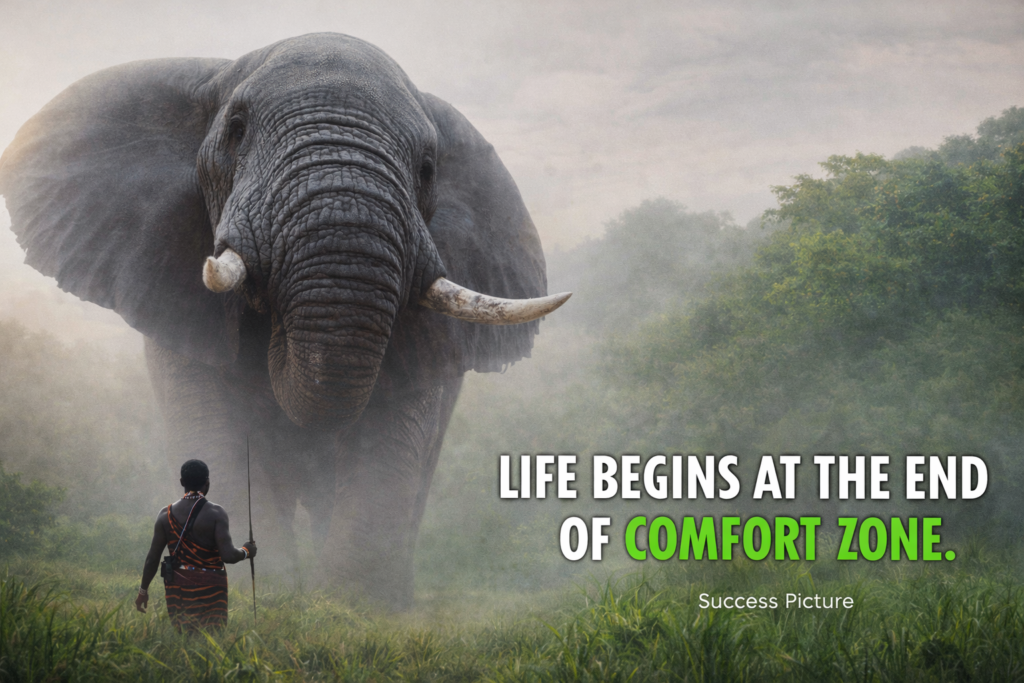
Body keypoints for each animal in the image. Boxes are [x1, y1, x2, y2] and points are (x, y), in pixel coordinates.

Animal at [0, 33, 568, 609]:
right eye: (237, 128)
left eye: (428, 167)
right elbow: (216, 425)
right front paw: (270, 592)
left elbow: (386, 439)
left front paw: (352, 608)